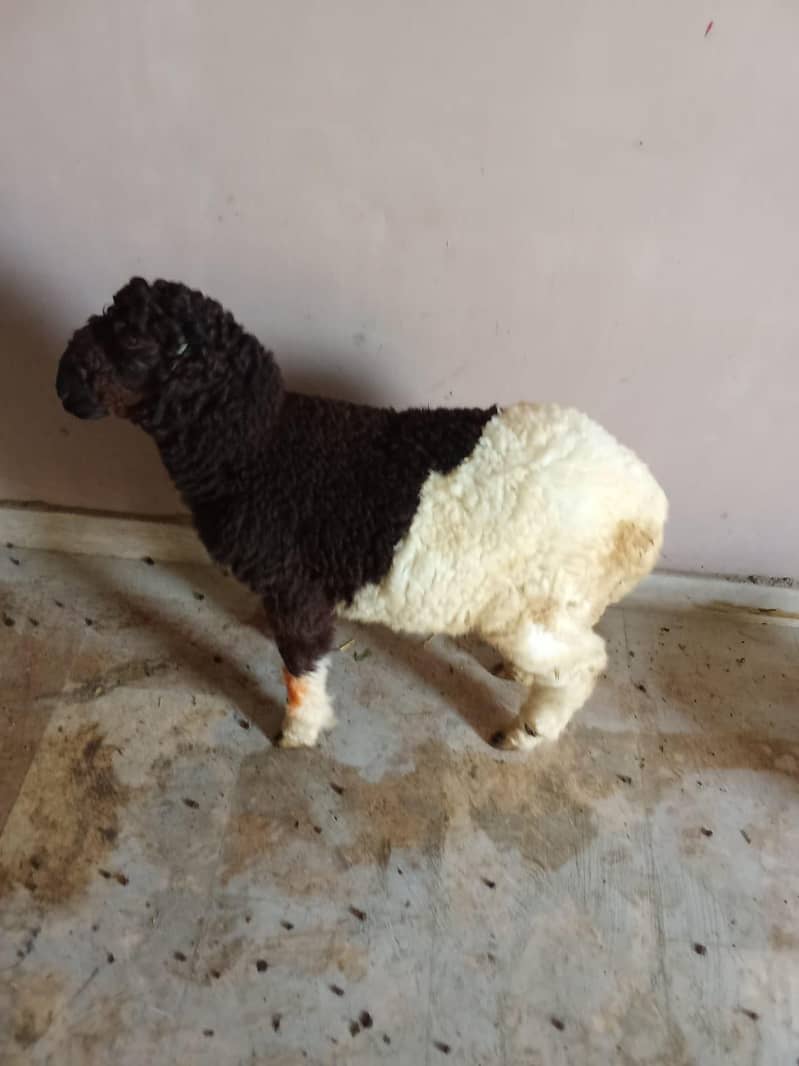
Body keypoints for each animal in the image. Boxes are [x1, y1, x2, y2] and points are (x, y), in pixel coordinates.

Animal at [56, 277, 667, 752]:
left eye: (133, 342)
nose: (62, 382)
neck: (256, 445)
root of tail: (645, 509)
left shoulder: (296, 586)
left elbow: (301, 668)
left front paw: (297, 733)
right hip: (561, 601)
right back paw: (517, 677)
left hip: (526, 608)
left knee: (585, 662)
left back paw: (528, 731)